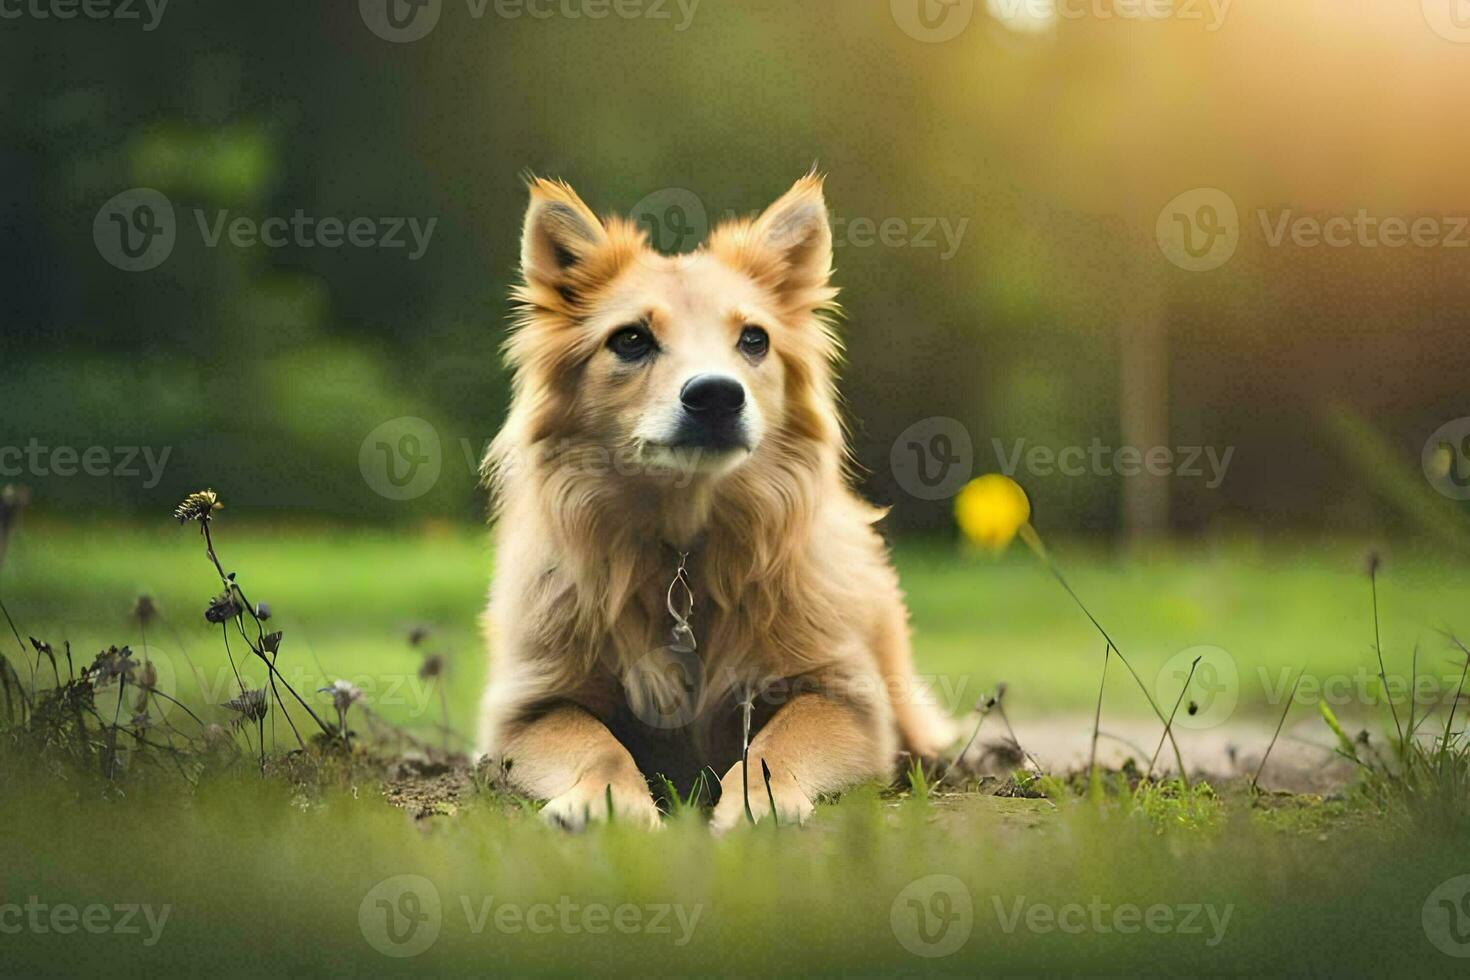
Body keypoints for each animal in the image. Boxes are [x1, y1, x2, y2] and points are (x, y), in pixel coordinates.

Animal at [473, 174, 952, 828]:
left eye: (754, 339)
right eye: (631, 339)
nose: (718, 395)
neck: (684, 551)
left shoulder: (845, 698)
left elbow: (775, 744)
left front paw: (761, 802)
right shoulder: (528, 708)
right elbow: (598, 745)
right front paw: (605, 801)